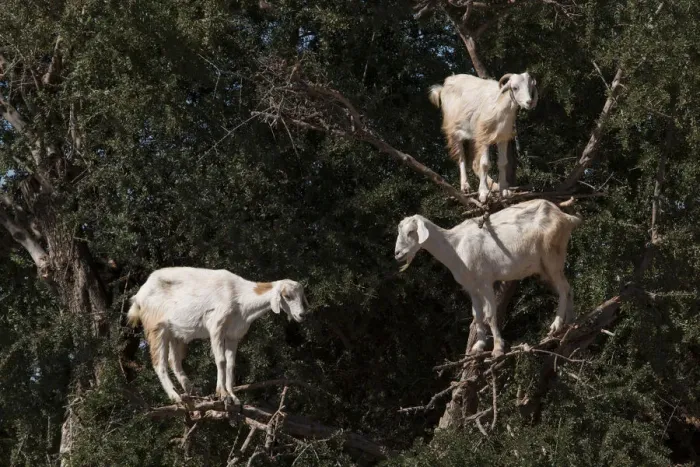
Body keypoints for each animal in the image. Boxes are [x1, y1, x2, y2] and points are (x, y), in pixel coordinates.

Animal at [127, 267, 310, 403]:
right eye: (287, 296)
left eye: (301, 296)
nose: (301, 315)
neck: (239, 296)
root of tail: (139, 296)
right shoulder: (216, 327)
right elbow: (220, 360)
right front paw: (222, 393)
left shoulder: (233, 335)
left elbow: (230, 364)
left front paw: (233, 397)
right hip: (156, 327)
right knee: (160, 364)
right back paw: (176, 396)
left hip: (176, 333)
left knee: (174, 361)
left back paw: (192, 391)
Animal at [394, 199, 580, 357]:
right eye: (400, 232)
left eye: (411, 232)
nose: (398, 254)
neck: (454, 246)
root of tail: (566, 218)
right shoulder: (471, 287)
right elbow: (476, 315)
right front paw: (479, 346)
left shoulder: (485, 281)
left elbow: (490, 314)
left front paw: (497, 348)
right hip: (545, 267)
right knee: (568, 288)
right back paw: (571, 321)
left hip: (552, 256)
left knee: (563, 289)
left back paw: (556, 325)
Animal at [429, 72, 538, 203]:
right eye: (515, 87)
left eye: (530, 86)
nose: (529, 102)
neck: (499, 105)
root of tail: (444, 86)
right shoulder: (484, 136)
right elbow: (485, 164)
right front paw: (484, 193)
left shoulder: (502, 137)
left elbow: (502, 163)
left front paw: (504, 190)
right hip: (455, 130)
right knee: (461, 158)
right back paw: (465, 187)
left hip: (473, 137)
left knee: (474, 163)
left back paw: (494, 185)